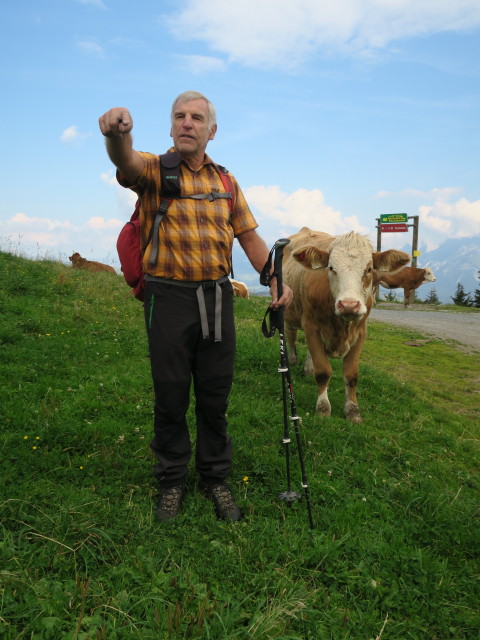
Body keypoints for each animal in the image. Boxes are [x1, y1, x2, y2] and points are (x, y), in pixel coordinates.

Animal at [284, 228, 410, 422]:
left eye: (369, 269)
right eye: (331, 268)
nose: (349, 305)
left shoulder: (361, 333)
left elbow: (351, 375)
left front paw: (352, 410)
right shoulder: (311, 326)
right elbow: (323, 371)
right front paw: (323, 407)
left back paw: (308, 368)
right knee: (290, 335)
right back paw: (292, 359)